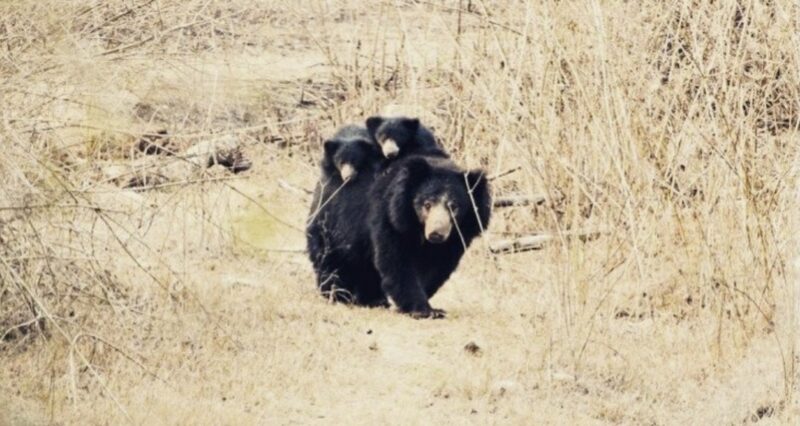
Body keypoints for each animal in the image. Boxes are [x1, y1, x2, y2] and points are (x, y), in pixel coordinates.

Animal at [306, 125, 386, 306]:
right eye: (340, 161)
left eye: (355, 160)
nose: (347, 176)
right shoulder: (327, 190)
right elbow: (315, 221)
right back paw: (334, 294)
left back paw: (371, 298)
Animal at [366, 154, 492, 318]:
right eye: (427, 204)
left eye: (454, 207)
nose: (436, 234)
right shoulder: (392, 218)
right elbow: (396, 259)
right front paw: (423, 310)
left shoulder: (457, 238)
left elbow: (436, 268)